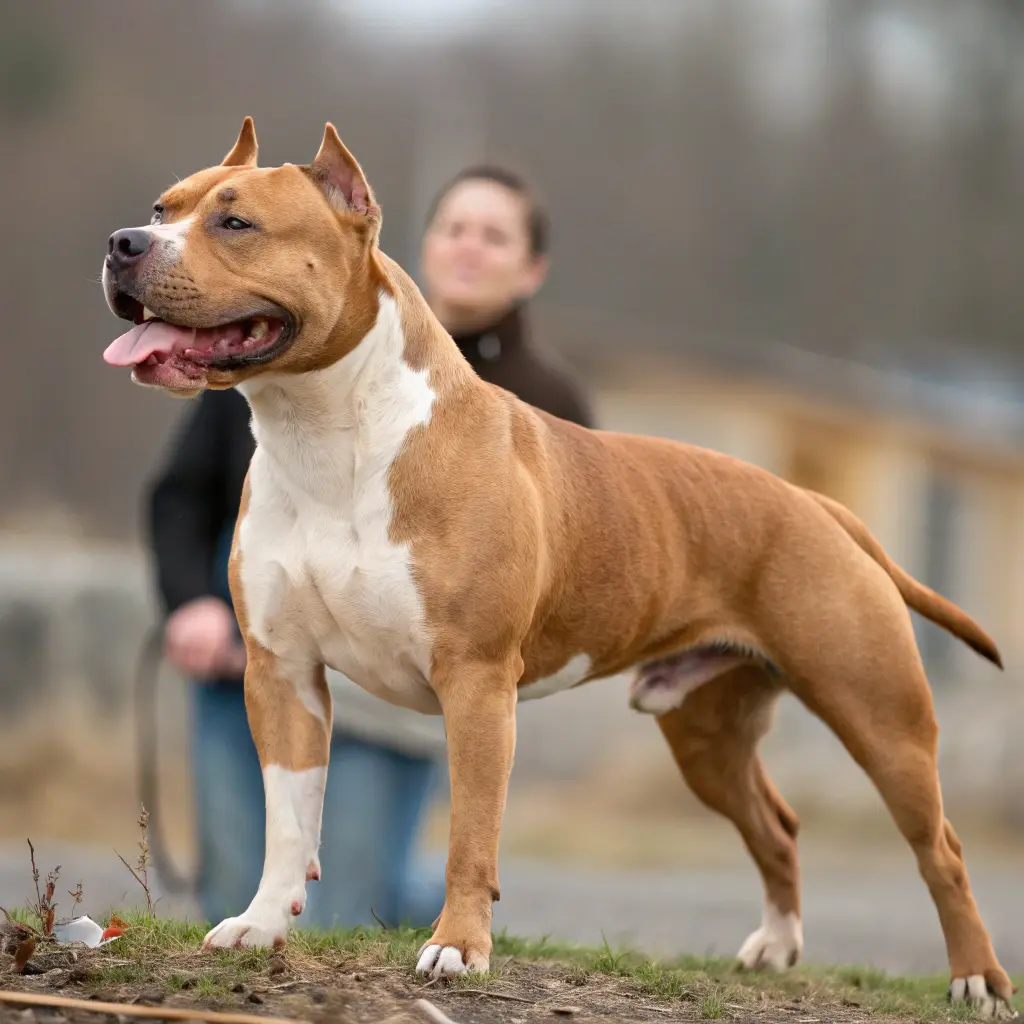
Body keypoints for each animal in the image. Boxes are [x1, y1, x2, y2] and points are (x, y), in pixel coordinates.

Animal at [101, 117, 1015, 1015]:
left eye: (235, 222)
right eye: (161, 207)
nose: (122, 242)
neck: (328, 436)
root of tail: (820, 505)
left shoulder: (475, 684)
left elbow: (470, 833)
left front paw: (458, 949)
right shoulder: (281, 672)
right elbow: (288, 816)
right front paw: (259, 925)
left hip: (879, 719)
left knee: (943, 850)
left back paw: (977, 979)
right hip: (708, 735)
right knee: (777, 827)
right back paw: (778, 947)